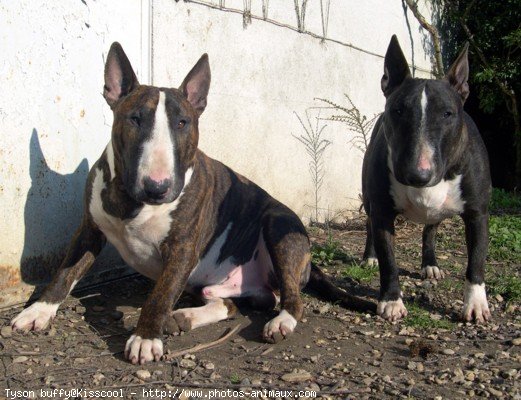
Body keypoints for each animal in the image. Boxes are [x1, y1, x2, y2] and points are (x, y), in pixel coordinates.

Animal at [12, 42, 370, 364]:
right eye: (135, 119)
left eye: (182, 123)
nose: (158, 187)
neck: (133, 203)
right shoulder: (89, 229)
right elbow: (65, 272)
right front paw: (39, 310)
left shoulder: (183, 248)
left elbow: (160, 295)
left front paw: (145, 338)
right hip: (208, 281)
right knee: (229, 304)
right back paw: (186, 316)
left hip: (278, 225)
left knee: (292, 299)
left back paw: (279, 321)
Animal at [362, 36, 492, 324]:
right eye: (398, 110)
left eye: (447, 113)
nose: (417, 174)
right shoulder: (382, 210)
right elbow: (389, 260)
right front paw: (391, 301)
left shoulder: (477, 213)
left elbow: (476, 259)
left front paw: (476, 304)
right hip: (367, 198)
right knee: (368, 225)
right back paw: (369, 257)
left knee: (430, 229)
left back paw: (430, 264)